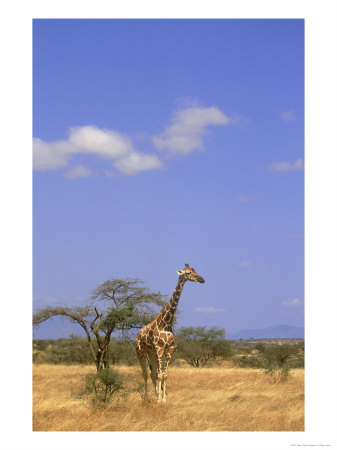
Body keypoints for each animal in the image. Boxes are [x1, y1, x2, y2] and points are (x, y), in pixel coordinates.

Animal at [135, 262, 203, 402]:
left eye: (195, 270)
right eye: (188, 272)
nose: (201, 279)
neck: (166, 323)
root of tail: (137, 335)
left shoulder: (169, 348)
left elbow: (164, 375)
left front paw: (163, 399)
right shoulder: (160, 348)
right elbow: (160, 375)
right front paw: (159, 400)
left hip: (151, 353)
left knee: (152, 373)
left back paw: (156, 394)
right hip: (140, 351)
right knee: (145, 373)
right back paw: (146, 398)